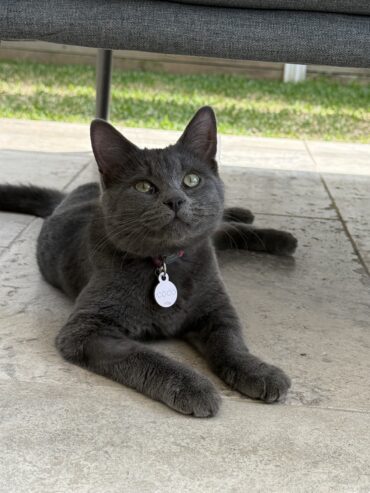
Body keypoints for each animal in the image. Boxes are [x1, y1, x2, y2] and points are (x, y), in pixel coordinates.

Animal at [0, 104, 296, 416]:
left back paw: (272, 232)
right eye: (143, 186)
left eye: (191, 180)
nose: (175, 199)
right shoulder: (86, 330)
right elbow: (143, 355)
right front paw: (193, 387)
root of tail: (67, 197)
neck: (166, 264)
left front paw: (259, 371)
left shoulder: (217, 309)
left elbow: (230, 342)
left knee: (224, 228)